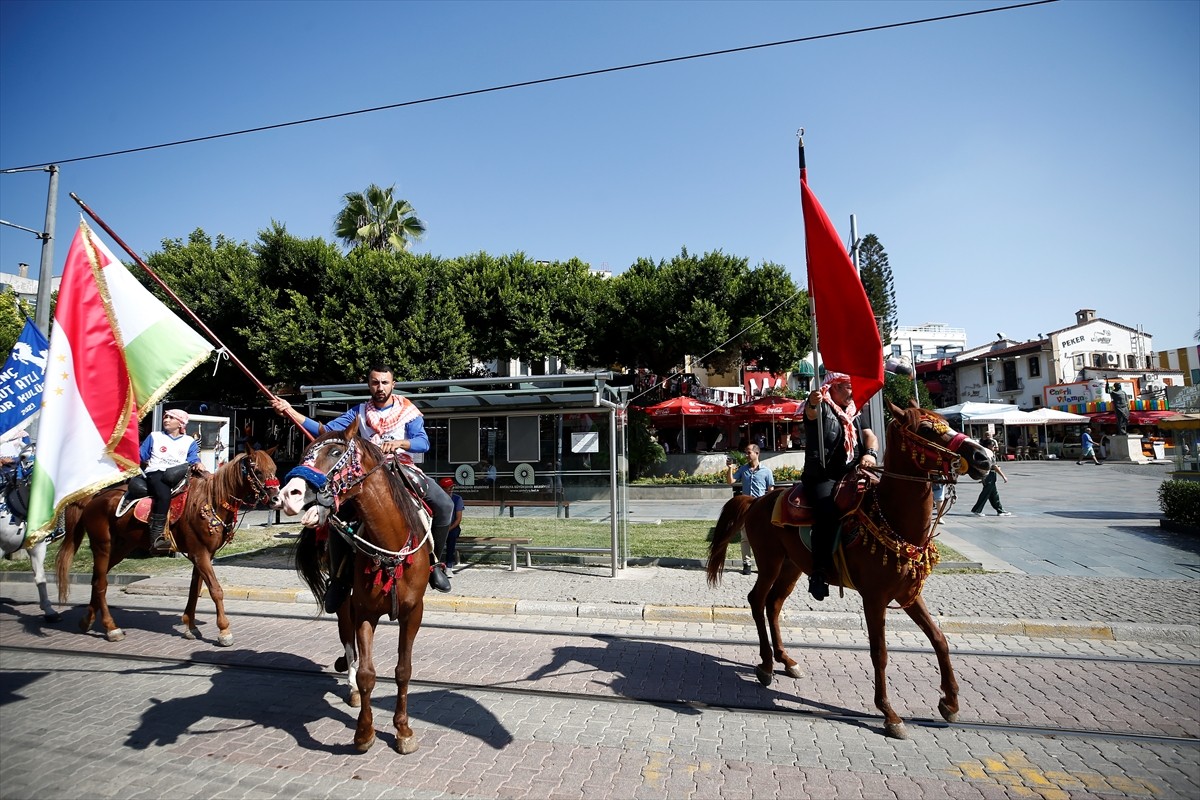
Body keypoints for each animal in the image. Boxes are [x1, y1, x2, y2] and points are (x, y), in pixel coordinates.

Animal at [57, 448, 282, 647]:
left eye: (274, 469)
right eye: (258, 471)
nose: (276, 499)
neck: (211, 500)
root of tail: (94, 497)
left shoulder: (203, 555)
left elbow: (194, 589)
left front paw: (191, 626)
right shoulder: (200, 554)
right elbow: (215, 590)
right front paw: (224, 631)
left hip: (121, 547)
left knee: (97, 580)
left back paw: (87, 621)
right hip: (102, 546)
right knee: (101, 583)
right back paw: (112, 628)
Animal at [279, 429, 432, 753]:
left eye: (336, 453)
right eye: (304, 453)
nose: (288, 494)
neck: (389, 546)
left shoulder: (413, 612)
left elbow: (403, 670)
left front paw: (403, 731)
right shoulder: (365, 612)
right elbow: (366, 674)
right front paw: (364, 732)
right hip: (344, 597)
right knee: (346, 633)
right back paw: (348, 684)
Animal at [700, 400, 993, 738]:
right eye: (926, 428)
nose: (983, 457)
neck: (891, 516)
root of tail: (756, 499)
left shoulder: (908, 593)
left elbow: (939, 639)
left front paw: (950, 702)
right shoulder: (874, 598)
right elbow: (880, 652)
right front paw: (889, 713)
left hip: (792, 567)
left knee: (773, 604)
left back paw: (786, 660)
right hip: (770, 561)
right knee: (757, 600)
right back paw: (766, 665)